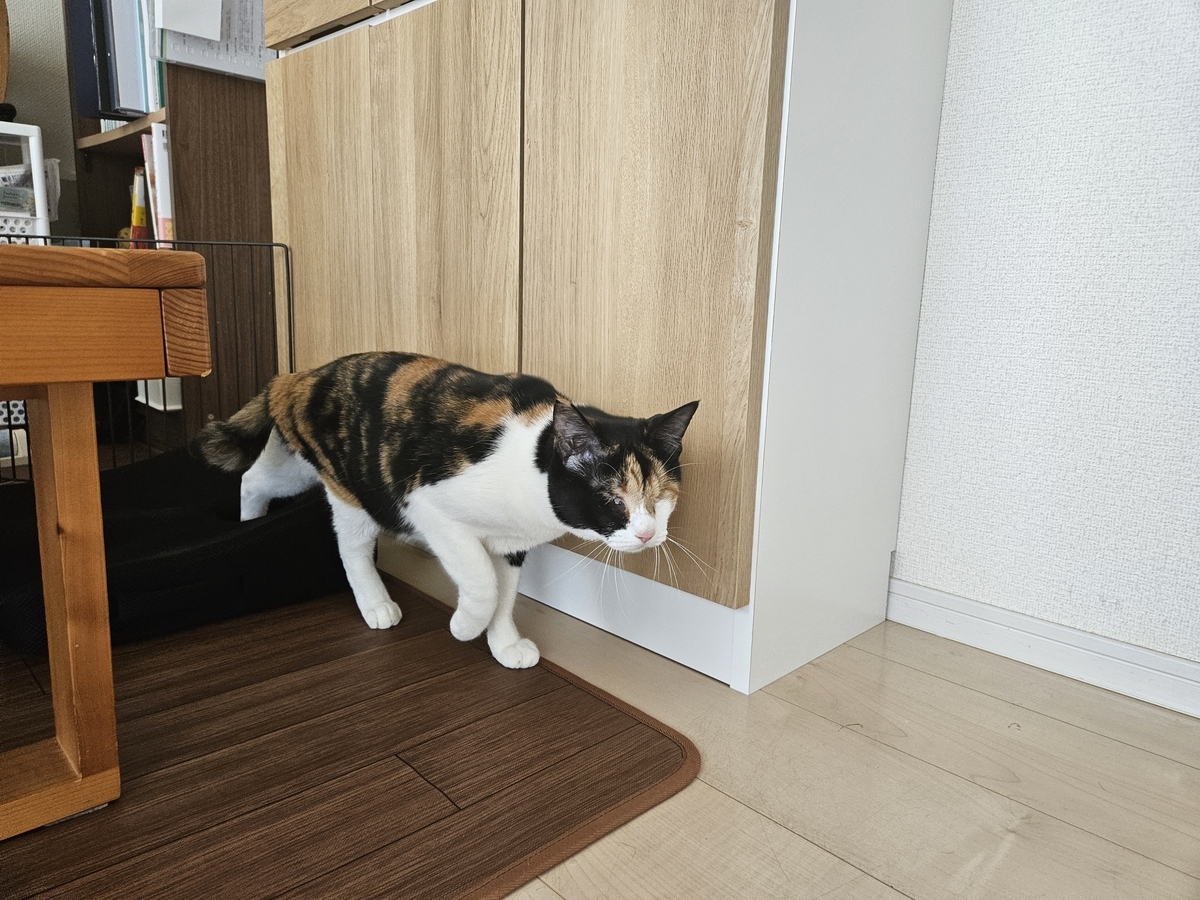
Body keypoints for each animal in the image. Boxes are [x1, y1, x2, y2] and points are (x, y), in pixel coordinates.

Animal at [195, 351, 698, 669]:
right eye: (613, 500)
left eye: (661, 499)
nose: (648, 534)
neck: (529, 465)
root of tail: (299, 377)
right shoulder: (428, 506)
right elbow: (483, 581)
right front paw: (464, 626)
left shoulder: (512, 543)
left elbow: (506, 591)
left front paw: (503, 644)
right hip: (352, 486)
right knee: (347, 543)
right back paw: (374, 603)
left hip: (303, 463)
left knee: (255, 477)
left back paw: (249, 522)